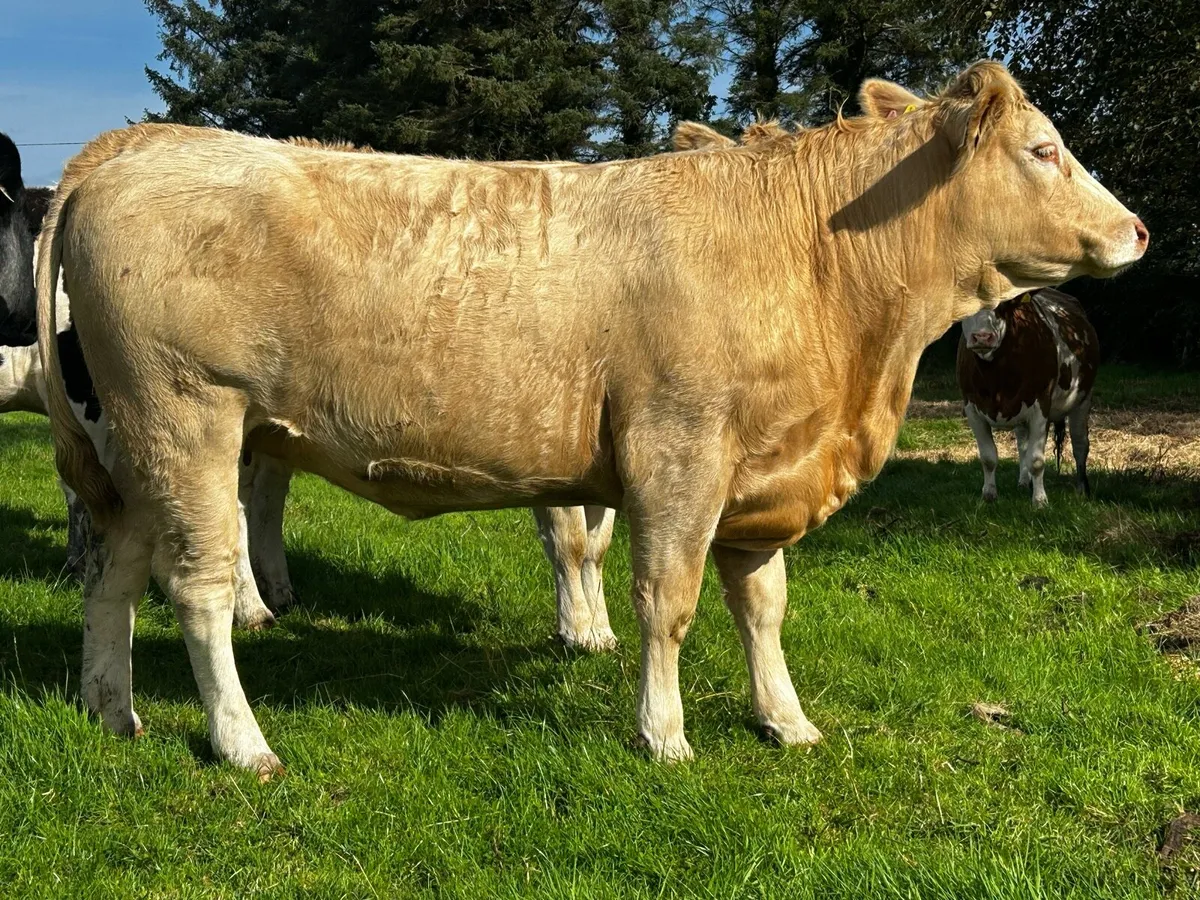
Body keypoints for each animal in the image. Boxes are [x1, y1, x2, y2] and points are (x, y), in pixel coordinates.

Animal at [957, 287, 1098, 506]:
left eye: (1003, 304)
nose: (982, 337)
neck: (995, 378)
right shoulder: (971, 407)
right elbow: (988, 457)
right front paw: (989, 494)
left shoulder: (1041, 405)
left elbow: (1037, 460)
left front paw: (1040, 501)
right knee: (1022, 443)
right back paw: (1024, 482)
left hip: (1083, 399)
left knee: (1080, 444)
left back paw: (1082, 489)